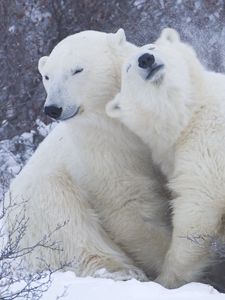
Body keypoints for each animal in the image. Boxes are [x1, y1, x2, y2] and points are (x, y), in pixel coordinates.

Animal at [106, 28, 225, 288]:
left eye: (152, 47)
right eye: (128, 68)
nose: (146, 60)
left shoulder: (206, 144)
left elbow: (196, 207)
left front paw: (166, 280)